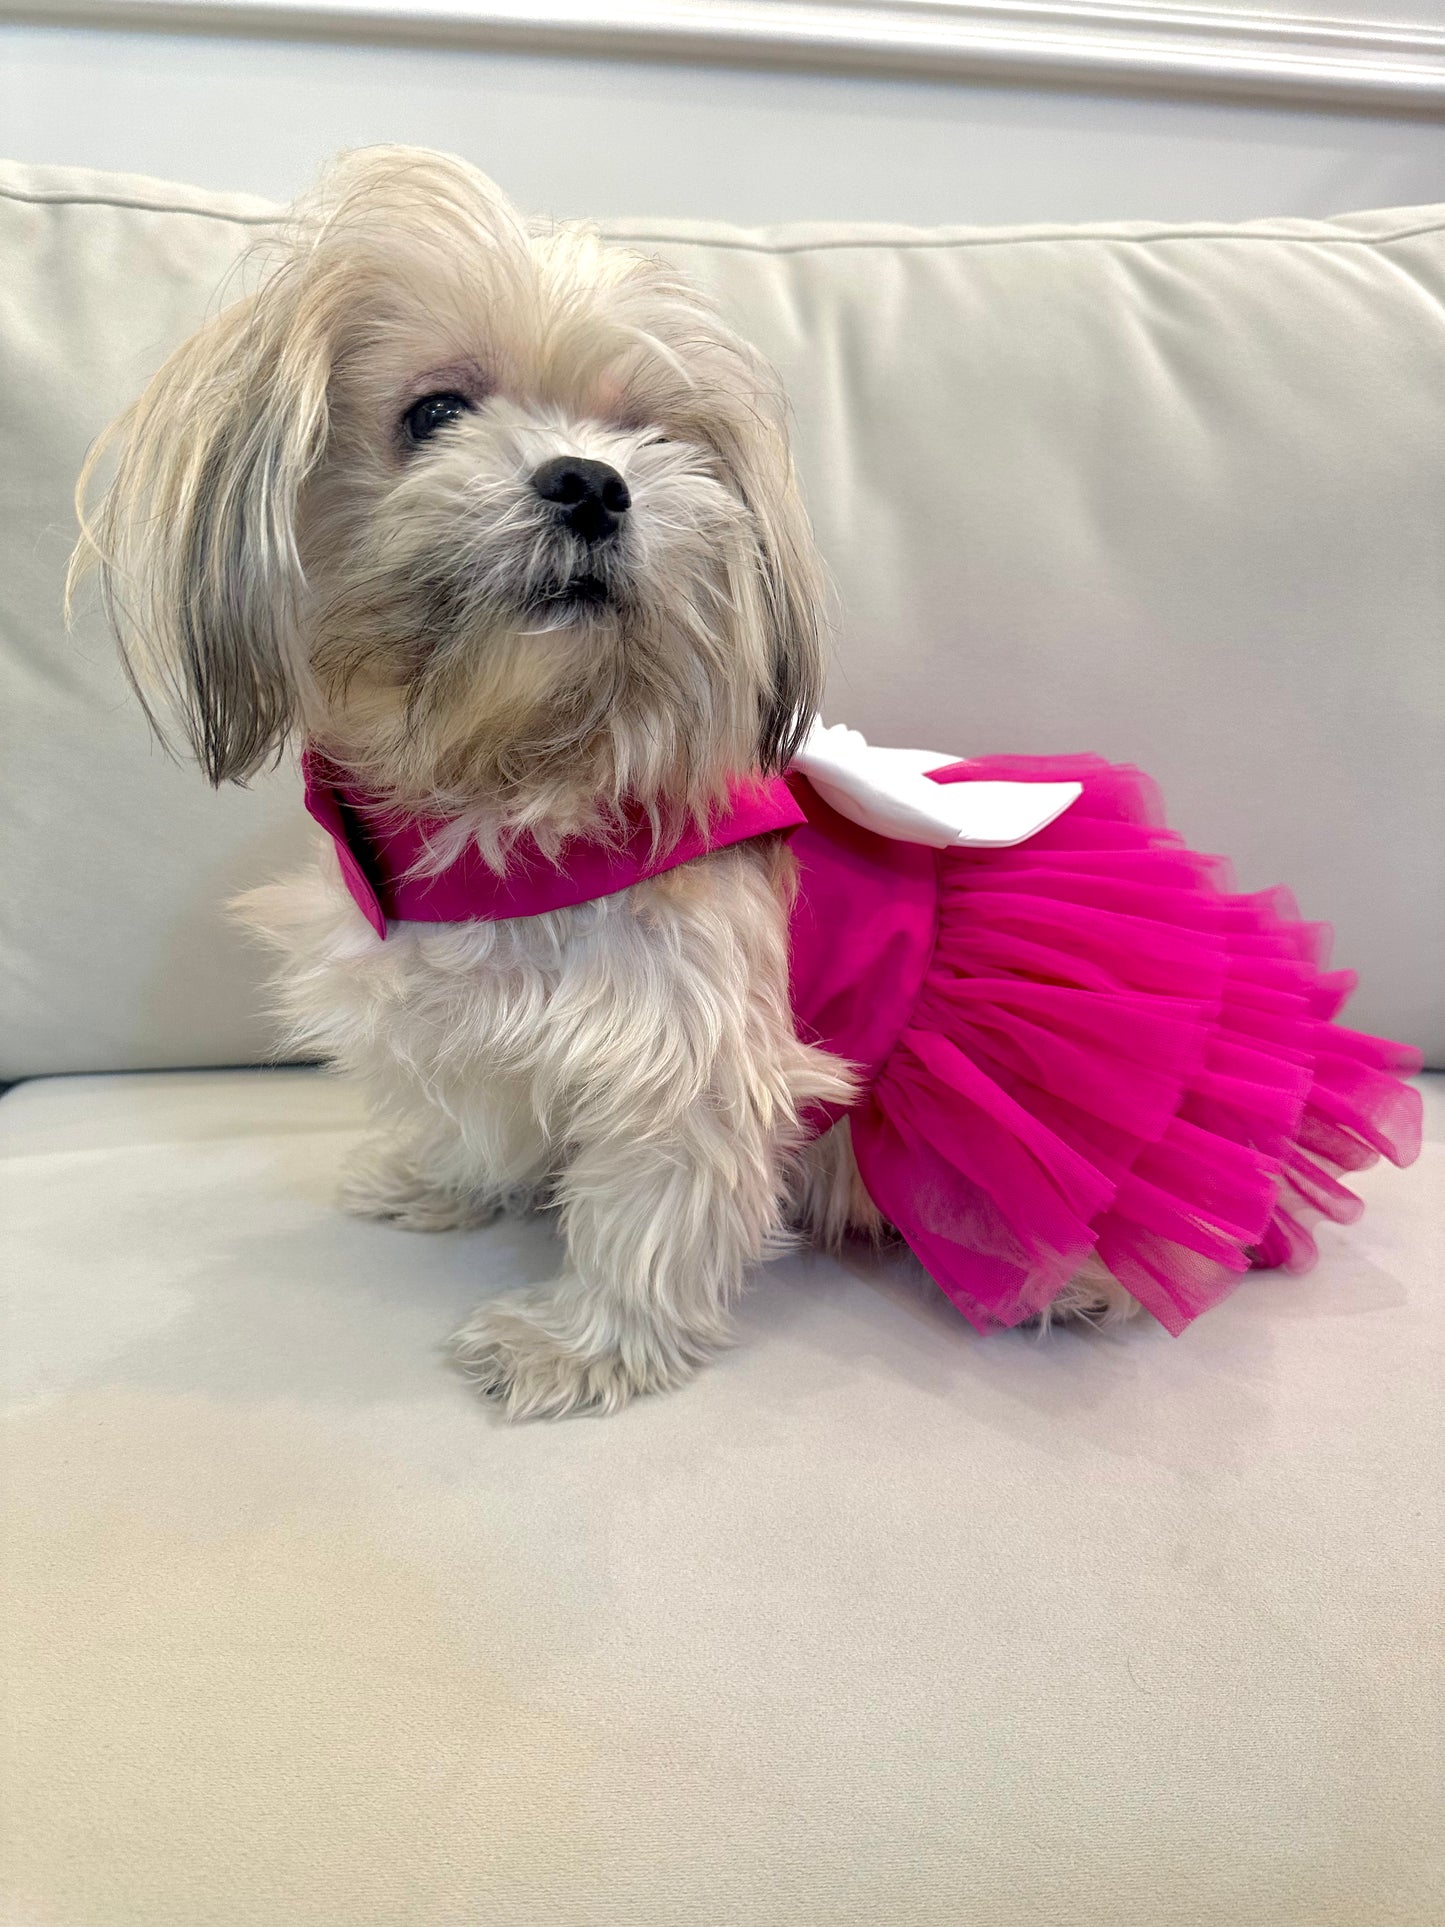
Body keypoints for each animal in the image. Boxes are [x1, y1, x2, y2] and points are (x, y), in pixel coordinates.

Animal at [84, 146, 1102, 1418]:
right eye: (433, 413)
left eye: (645, 431)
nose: (591, 481)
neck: (514, 775)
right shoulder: (454, 1014)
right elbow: (468, 1108)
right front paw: (440, 1182)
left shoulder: (685, 1049)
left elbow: (651, 1211)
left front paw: (579, 1344)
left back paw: (1066, 1278)